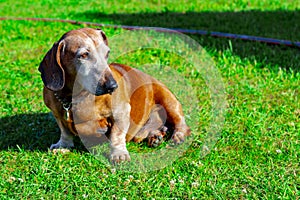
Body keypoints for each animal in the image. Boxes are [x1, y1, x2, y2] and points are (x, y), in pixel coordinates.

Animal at [39, 27, 190, 162]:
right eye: (83, 55)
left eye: (107, 53)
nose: (112, 86)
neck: (74, 97)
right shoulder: (58, 114)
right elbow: (65, 130)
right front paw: (63, 145)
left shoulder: (121, 112)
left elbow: (116, 135)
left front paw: (119, 154)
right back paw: (156, 135)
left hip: (168, 99)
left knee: (180, 122)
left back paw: (178, 135)